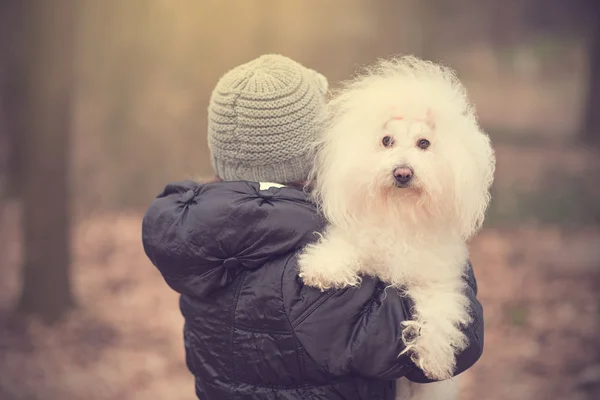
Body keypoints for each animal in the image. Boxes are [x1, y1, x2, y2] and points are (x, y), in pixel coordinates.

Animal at [298, 54, 494, 398]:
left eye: (424, 143)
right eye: (386, 141)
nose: (402, 172)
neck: (400, 214)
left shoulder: (439, 281)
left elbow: (439, 312)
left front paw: (435, 359)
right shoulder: (360, 237)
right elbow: (342, 247)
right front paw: (323, 269)